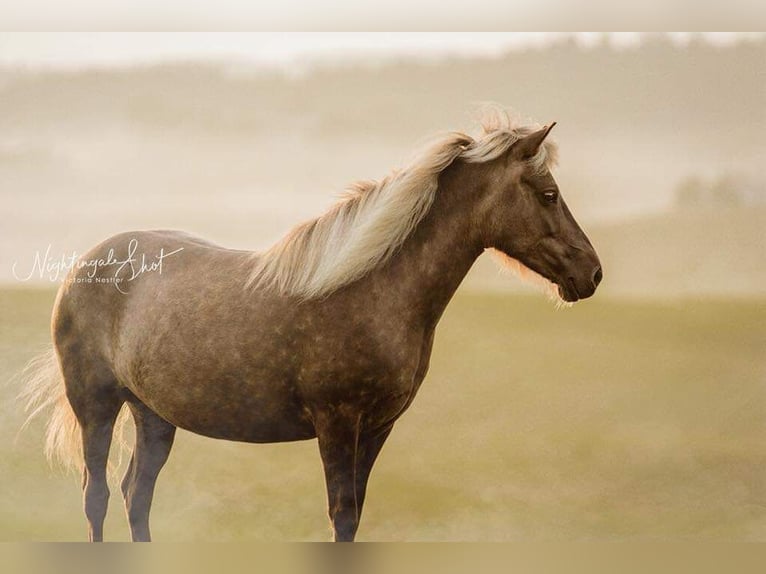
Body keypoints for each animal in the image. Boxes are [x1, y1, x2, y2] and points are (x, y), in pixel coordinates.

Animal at [21, 107, 602, 542]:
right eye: (548, 194)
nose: (591, 273)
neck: (374, 288)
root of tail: (86, 264)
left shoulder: (378, 428)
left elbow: (356, 516)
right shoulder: (337, 423)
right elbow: (340, 516)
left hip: (153, 414)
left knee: (135, 495)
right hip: (96, 405)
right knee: (97, 496)